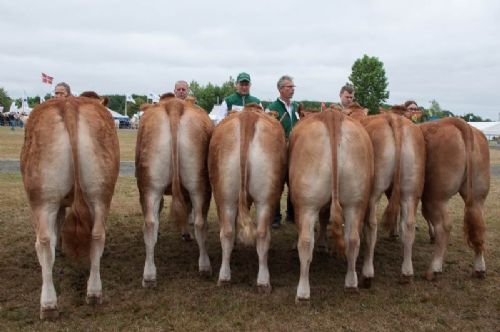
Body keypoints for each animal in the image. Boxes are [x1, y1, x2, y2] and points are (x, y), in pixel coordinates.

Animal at [21, 95, 120, 320]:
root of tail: (69, 104)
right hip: (100, 192)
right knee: (97, 235)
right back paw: (94, 293)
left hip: (42, 198)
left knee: (44, 242)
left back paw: (48, 304)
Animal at [207, 104, 286, 294]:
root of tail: (248, 117)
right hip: (263, 199)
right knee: (261, 234)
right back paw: (262, 282)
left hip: (224, 196)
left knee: (228, 232)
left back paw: (227, 277)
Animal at [288, 109, 374, 300]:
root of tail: (332, 115)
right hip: (355, 202)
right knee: (353, 240)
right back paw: (351, 283)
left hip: (307, 204)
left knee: (305, 242)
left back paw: (302, 292)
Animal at [420, 118, 490, 278]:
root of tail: (455, 121)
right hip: (477, 195)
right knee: (479, 225)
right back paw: (479, 268)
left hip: (436, 197)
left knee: (444, 226)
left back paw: (434, 268)